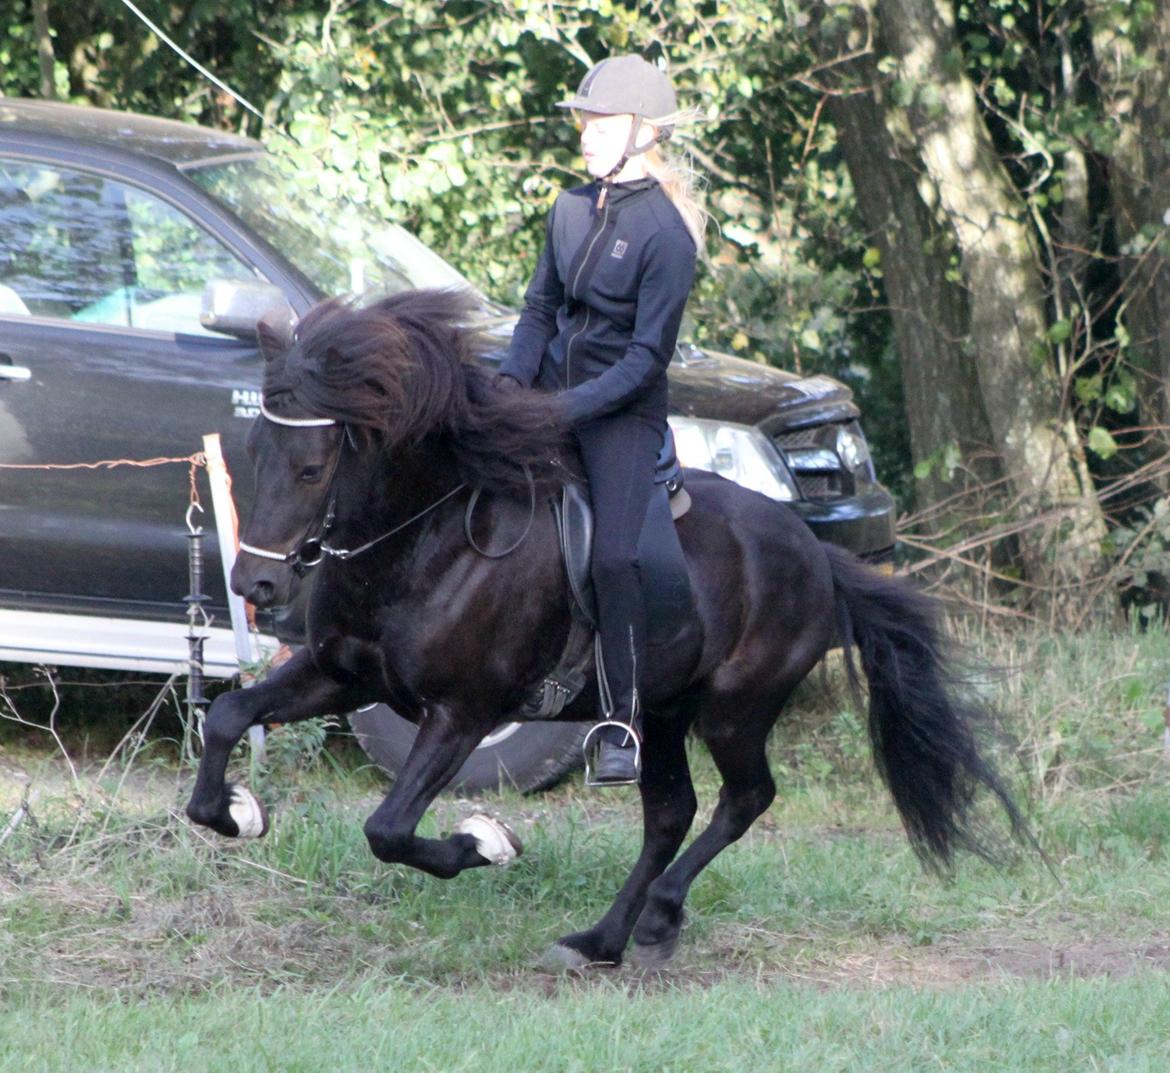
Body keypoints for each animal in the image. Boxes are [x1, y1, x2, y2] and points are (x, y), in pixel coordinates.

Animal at [187, 289, 1029, 968]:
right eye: (256, 451)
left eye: (313, 467)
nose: (255, 583)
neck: (423, 542)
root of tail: (816, 554)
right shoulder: (341, 672)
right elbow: (228, 713)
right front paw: (235, 811)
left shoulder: (463, 711)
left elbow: (389, 828)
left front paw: (487, 840)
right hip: (660, 710)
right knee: (671, 813)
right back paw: (600, 939)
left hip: (735, 708)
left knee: (745, 798)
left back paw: (656, 917)